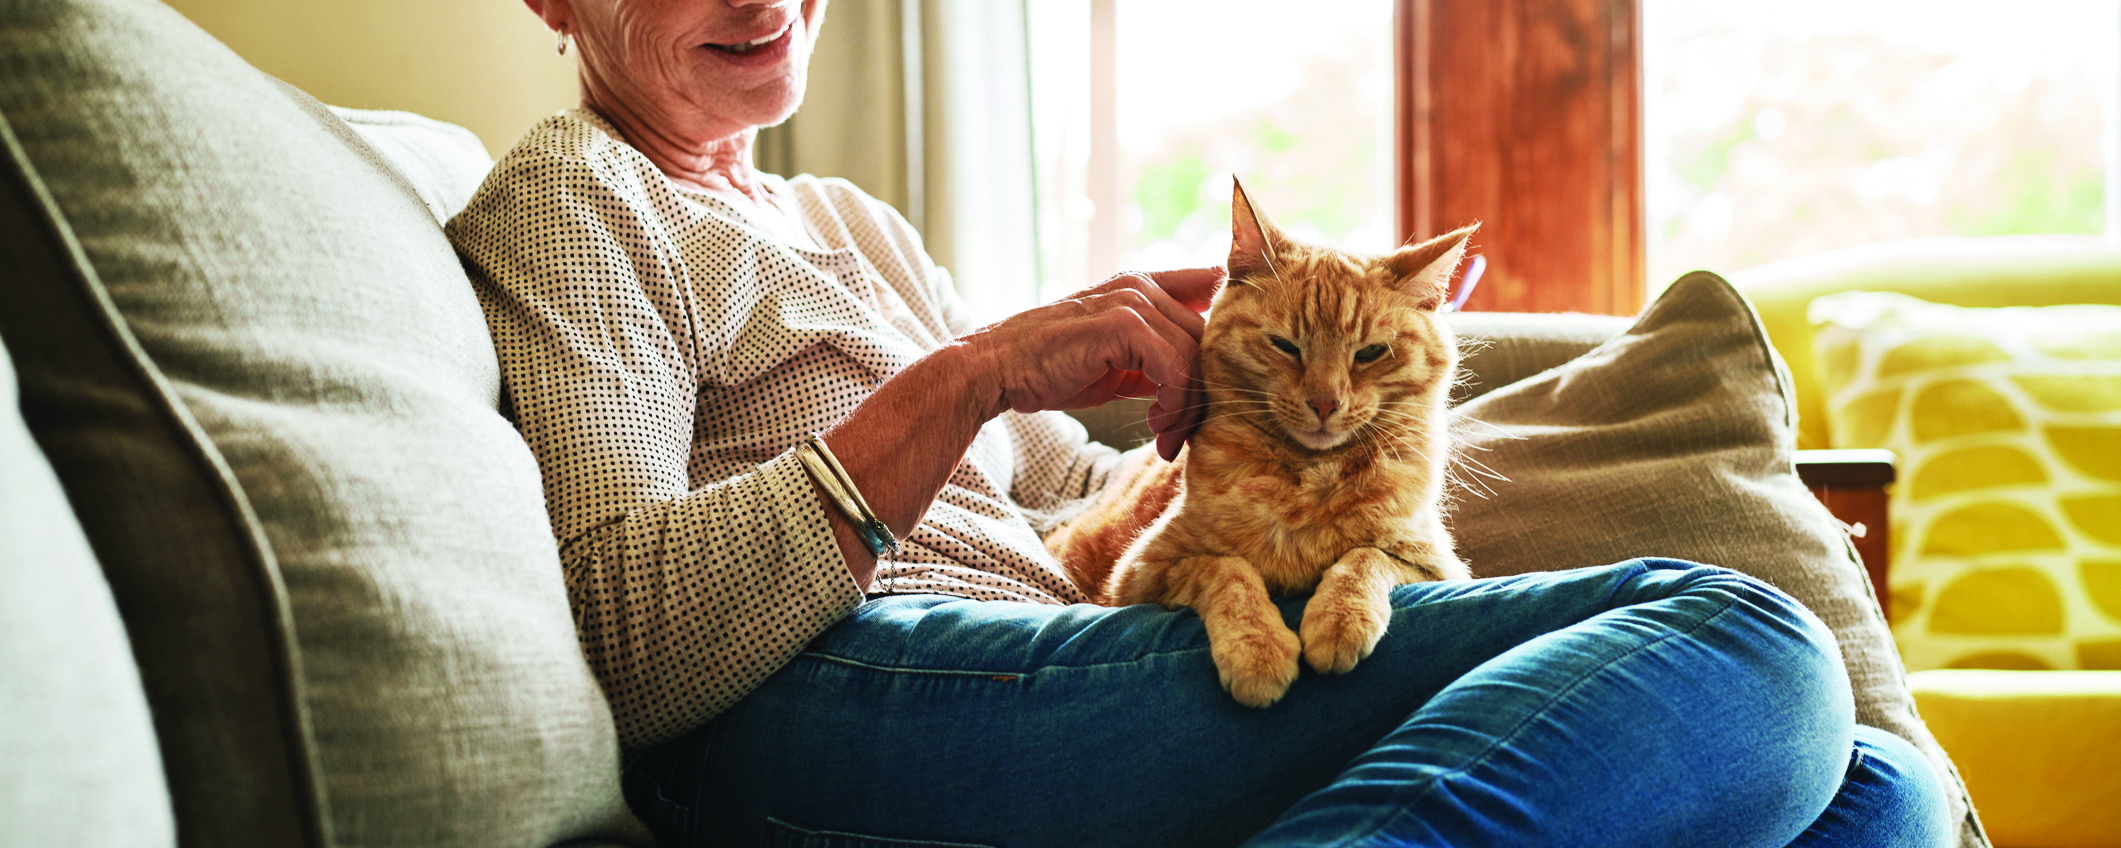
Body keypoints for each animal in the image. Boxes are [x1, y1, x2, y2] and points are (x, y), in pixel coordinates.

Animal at [1043, 180, 1476, 708]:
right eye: (1285, 345)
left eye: (1371, 352)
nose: (1325, 402)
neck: (1306, 482)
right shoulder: (1141, 574)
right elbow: (1228, 570)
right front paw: (1258, 650)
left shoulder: (1436, 565)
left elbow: (1365, 558)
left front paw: (1339, 620)